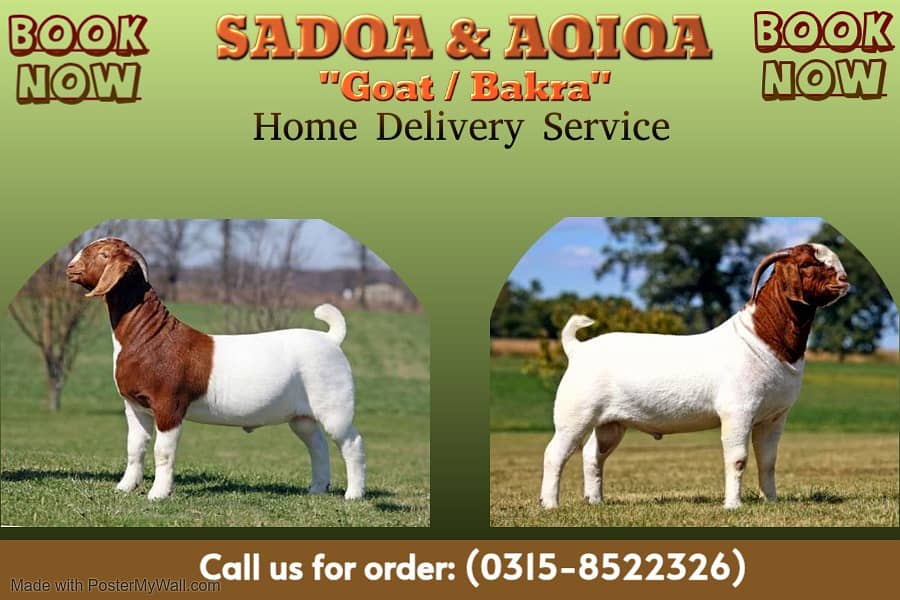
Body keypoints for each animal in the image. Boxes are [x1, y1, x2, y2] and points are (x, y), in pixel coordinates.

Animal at [66, 237, 365, 501]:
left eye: (104, 254)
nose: (70, 267)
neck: (149, 335)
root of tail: (330, 339)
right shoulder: (135, 406)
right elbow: (135, 448)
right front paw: (125, 488)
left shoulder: (169, 405)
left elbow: (163, 452)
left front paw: (158, 494)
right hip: (302, 416)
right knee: (317, 446)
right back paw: (317, 489)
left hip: (334, 404)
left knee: (351, 443)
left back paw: (354, 494)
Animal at [540, 243, 850, 510]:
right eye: (807, 263)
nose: (844, 279)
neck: (760, 338)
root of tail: (578, 349)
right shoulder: (738, 411)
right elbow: (738, 459)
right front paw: (733, 505)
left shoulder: (774, 416)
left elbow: (768, 460)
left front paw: (770, 501)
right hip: (575, 414)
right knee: (555, 453)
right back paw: (550, 504)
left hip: (611, 422)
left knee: (593, 454)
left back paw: (595, 501)